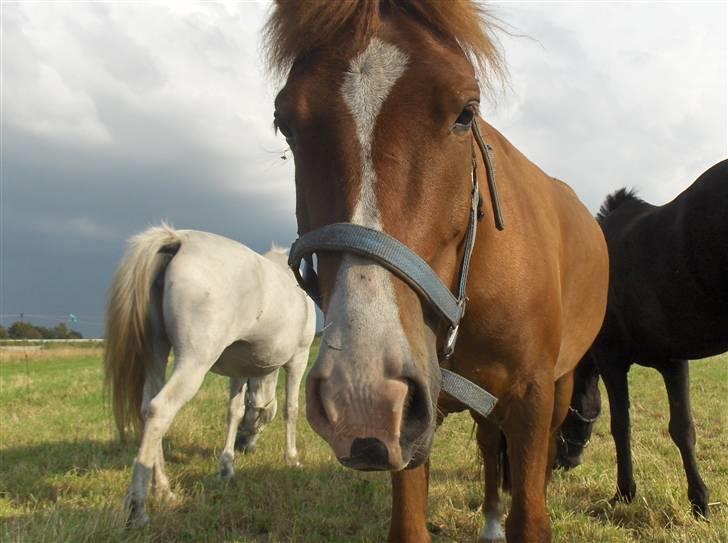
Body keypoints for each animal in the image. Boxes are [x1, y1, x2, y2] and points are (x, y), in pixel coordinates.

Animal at [103, 224, 316, 528]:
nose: (244, 446)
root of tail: (179, 240)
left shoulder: (239, 369)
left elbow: (234, 412)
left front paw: (227, 465)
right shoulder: (298, 358)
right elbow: (291, 409)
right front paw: (292, 458)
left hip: (156, 351)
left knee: (147, 410)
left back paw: (164, 490)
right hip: (194, 361)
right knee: (160, 409)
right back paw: (139, 508)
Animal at [264, 2, 604, 540]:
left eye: (466, 112)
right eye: (285, 124)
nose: (361, 393)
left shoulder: (531, 398)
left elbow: (531, 513)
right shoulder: (410, 420)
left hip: (561, 382)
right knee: (488, 445)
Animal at [556, 158, 728, 520]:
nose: (563, 460)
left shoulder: (612, 360)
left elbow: (621, 426)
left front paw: (624, 492)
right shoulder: (673, 361)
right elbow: (683, 429)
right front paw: (699, 500)